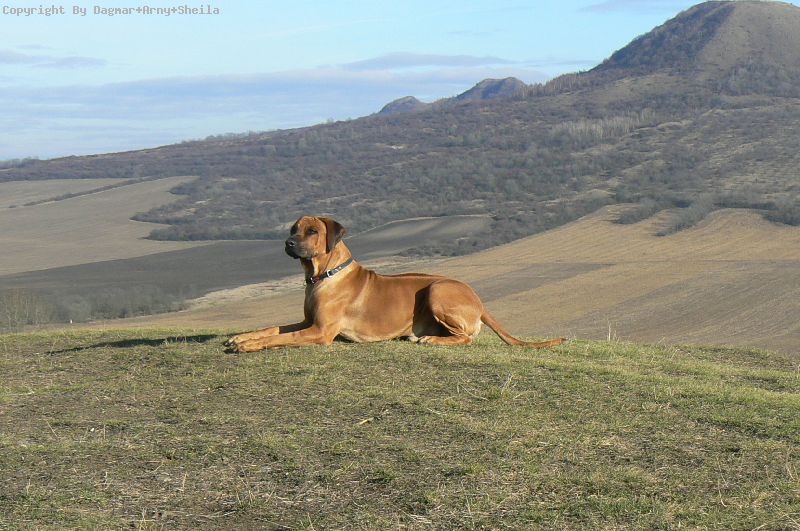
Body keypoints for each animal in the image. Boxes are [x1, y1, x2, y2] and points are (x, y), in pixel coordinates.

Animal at [225, 216, 567, 352]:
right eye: (293, 228)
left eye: (311, 232)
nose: (288, 242)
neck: (323, 275)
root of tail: (480, 301)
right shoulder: (308, 321)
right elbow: (272, 328)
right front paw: (241, 337)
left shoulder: (320, 332)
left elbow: (281, 338)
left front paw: (248, 346)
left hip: (437, 289)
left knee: (467, 338)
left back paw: (432, 340)